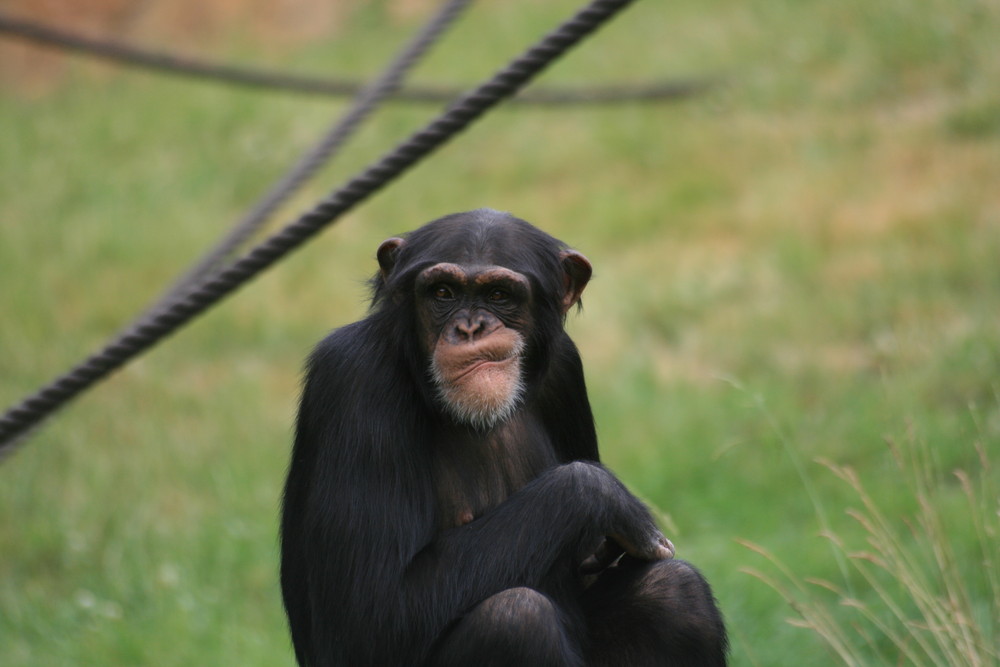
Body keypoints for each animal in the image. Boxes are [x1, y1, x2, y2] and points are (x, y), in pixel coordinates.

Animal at [282, 210, 728, 667]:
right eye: (442, 292)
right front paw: (603, 493)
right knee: (515, 617)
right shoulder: (356, 377)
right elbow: (374, 610)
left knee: (674, 590)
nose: (471, 327)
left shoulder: (566, 366)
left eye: (499, 295)